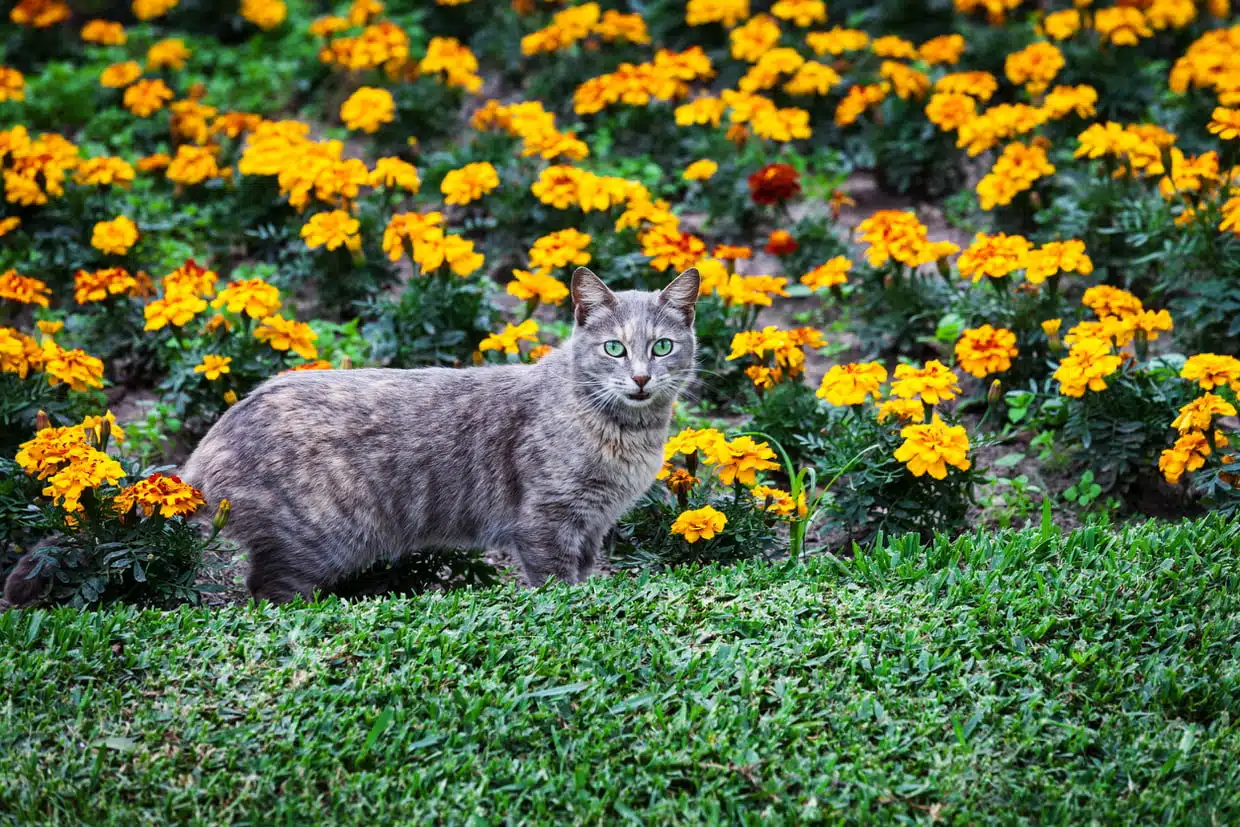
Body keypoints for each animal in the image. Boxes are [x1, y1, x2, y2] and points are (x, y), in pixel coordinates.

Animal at [177, 266, 699, 602]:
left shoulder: (592, 526)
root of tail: (206, 445)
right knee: (267, 593)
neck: (628, 435)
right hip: (312, 542)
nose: (640, 378)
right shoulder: (547, 522)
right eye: (614, 348)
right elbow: (557, 583)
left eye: (662, 347)